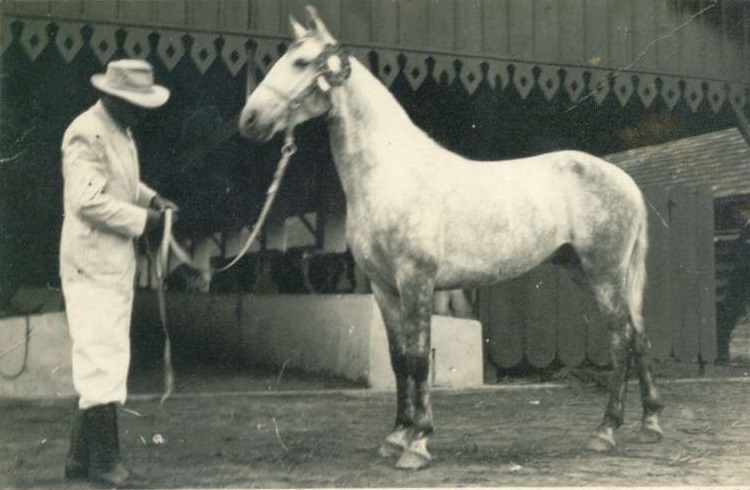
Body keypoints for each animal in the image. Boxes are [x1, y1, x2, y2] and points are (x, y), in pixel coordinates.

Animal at [238, 5, 668, 468]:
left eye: (301, 63)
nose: (249, 119)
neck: (391, 170)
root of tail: (624, 181)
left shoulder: (417, 280)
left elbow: (418, 357)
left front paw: (418, 442)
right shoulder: (384, 288)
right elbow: (397, 360)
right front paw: (396, 435)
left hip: (603, 272)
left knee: (621, 337)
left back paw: (606, 431)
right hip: (588, 271)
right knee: (638, 334)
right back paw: (650, 423)